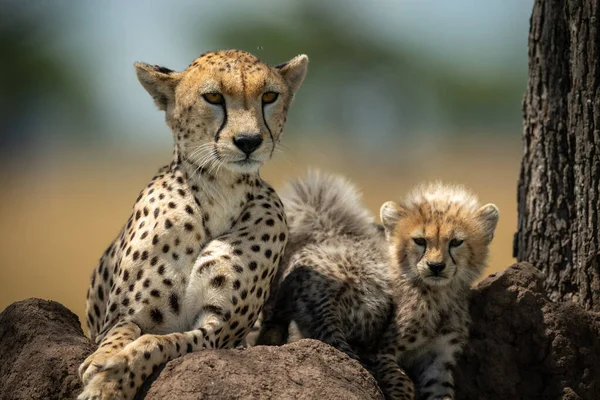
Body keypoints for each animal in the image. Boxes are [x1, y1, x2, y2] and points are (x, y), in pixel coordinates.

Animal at [77, 50, 308, 400]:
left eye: (269, 96)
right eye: (213, 97)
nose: (249, 141)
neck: (219, 189)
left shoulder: (218, 330)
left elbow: (157, 343)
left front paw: (110, 380)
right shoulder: (127, 313)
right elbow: (119, 333)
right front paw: (99, 363)